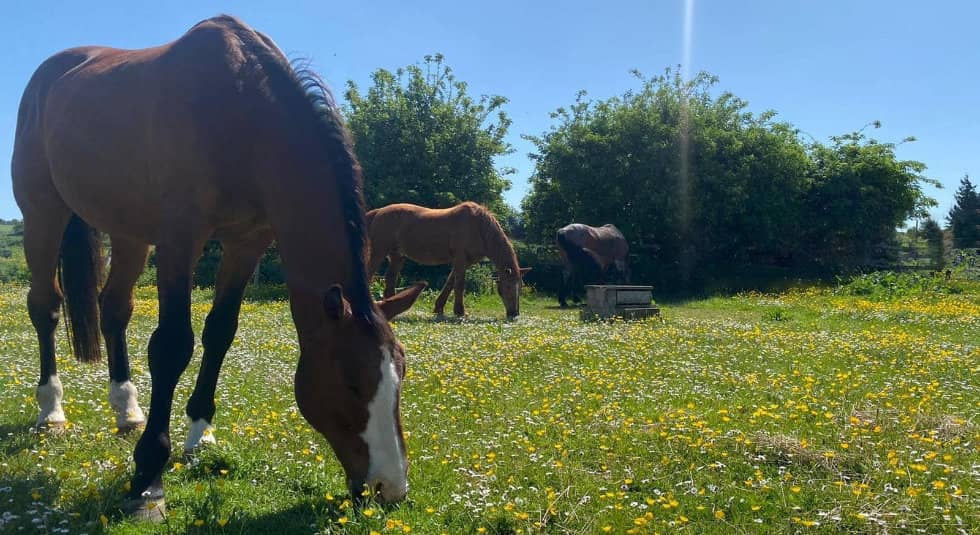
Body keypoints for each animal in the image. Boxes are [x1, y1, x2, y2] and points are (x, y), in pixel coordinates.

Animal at [11, 15, 424, 519]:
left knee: (114, 310)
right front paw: (148, 477)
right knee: (45, 307)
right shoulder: (179, 240)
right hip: (42, 215)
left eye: (401, 374)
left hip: (130, 233)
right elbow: (172, 346)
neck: (240, 114)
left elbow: (220, 332)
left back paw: (127, 410)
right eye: (351, 383)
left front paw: (199, 434)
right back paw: (51, 411)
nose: (391, 488)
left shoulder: (247, 243)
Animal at [365, 202, 530, 318]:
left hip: (397, 256)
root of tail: (378, 212)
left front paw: (439, 308)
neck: (478, 226)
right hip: (378, 252)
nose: (514, 314)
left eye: (520, 287)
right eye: (508, 287)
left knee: (390, 280)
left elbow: (450, 283)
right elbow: (459, 285)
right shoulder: (460, 259)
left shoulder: (465, 262)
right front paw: (460, 312)